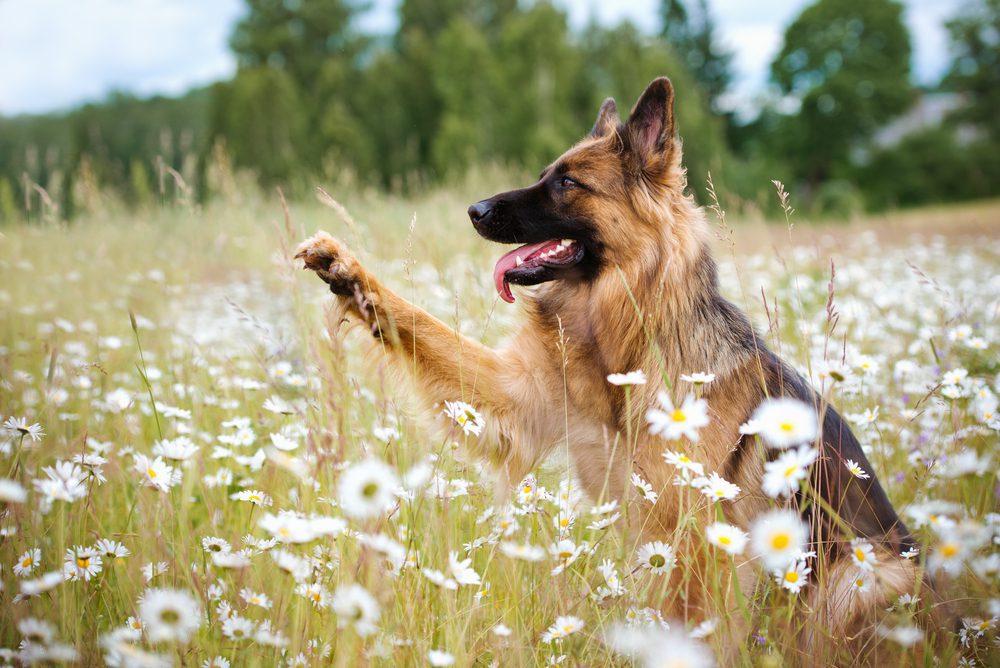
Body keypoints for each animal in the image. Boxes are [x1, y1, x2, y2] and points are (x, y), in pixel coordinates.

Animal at [294, 78, 936, 664]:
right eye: (546, 173)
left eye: (566, 183)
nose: (473, 210)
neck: (623, 342)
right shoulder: (516, 400)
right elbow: (416, 321)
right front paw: (347, 271)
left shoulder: (702, 545)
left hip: (864, 577)